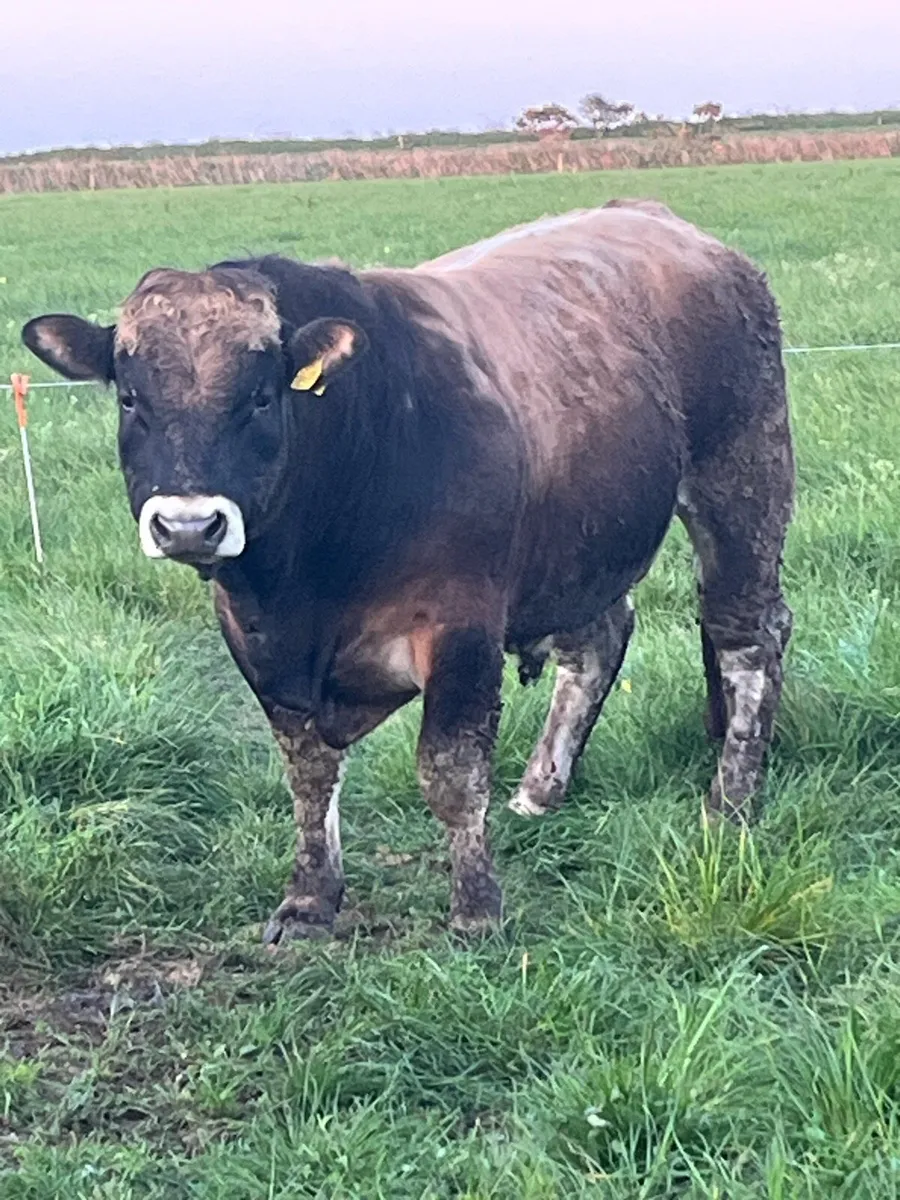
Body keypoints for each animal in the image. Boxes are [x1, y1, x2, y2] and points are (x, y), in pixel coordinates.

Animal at [22, 199, 794, 942]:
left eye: (262, 397)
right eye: (130, 398)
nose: (188, 524)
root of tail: (669, 224)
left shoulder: (460, 626)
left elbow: (450, 772)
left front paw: (476, 908)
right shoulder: (257, 641)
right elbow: (307, 772)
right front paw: (309, 898)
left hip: (741, 483)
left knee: (749, 637)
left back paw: (731, 802)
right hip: (582, 537)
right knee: (599, 640)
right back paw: (541, 789)